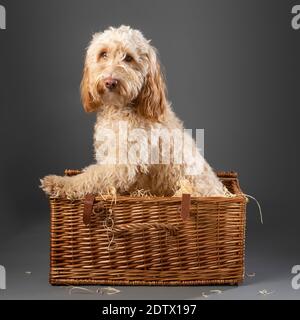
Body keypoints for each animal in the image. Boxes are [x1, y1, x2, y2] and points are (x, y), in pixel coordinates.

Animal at [40, 25, 227, 198]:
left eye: (128, 58)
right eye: (103, 54)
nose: (110, 82)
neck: (120, 108)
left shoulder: (122, 164)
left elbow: (91, 176)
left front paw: (59, 182)